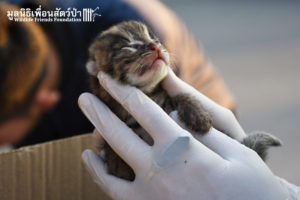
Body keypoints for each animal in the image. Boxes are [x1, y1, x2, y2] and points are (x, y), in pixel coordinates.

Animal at [86, 20, 282, 181]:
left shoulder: (168, 95)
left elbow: (181, 95)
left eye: (154, 38)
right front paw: (118, 159)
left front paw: (198, 116)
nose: (155, 46)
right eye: (130, 45)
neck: (150, 95)